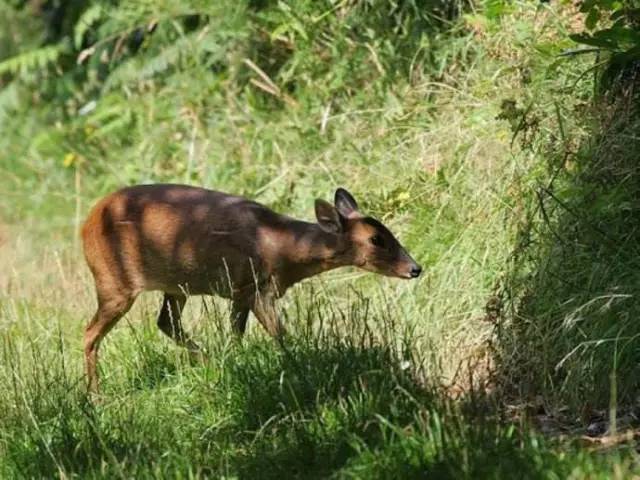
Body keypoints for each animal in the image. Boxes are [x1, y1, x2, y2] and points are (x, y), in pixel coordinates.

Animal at [82, 186, 422, 392]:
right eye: (376, 239)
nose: (415, 268)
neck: (279, 246)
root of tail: (84, 226)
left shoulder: (242, 291)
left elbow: (236, 335)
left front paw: (237, 365)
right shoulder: (256, 287)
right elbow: (281, 334)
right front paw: (301, 365)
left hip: (176, 285)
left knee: (166, 322)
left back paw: (209, 362)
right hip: (113, 282)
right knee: (89, 333)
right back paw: (96, 397)